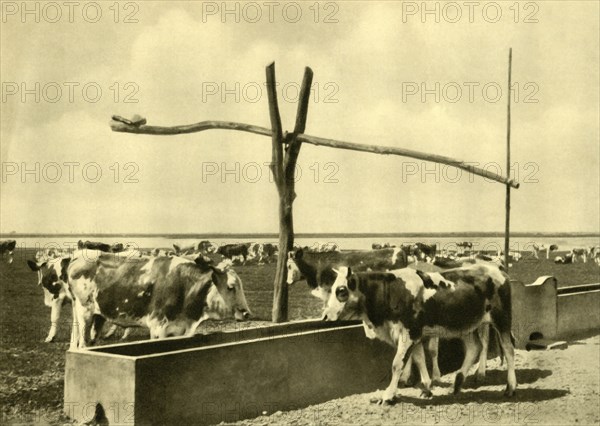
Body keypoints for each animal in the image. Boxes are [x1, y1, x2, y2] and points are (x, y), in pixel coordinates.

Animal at [67, 251, 251, 348]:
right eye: (231, 286)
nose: (247, 313)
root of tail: (78, 256)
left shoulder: (177, 329)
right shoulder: (158, 327)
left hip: (98, 315)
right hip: (85, 313)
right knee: (83, 343)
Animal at [324, 262, 516, 404]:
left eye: (341, 291)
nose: (325, 316)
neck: (391, 290)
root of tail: (497, 269)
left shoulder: (409, 333)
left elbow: (397, 364)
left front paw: (388, 395)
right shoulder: (415, 334)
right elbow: (419, 359)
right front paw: (426, 388)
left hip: (502, 320)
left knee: (508, 350)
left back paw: (510, 388)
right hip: (465, 326)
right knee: (474, 347)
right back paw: (458, 381)